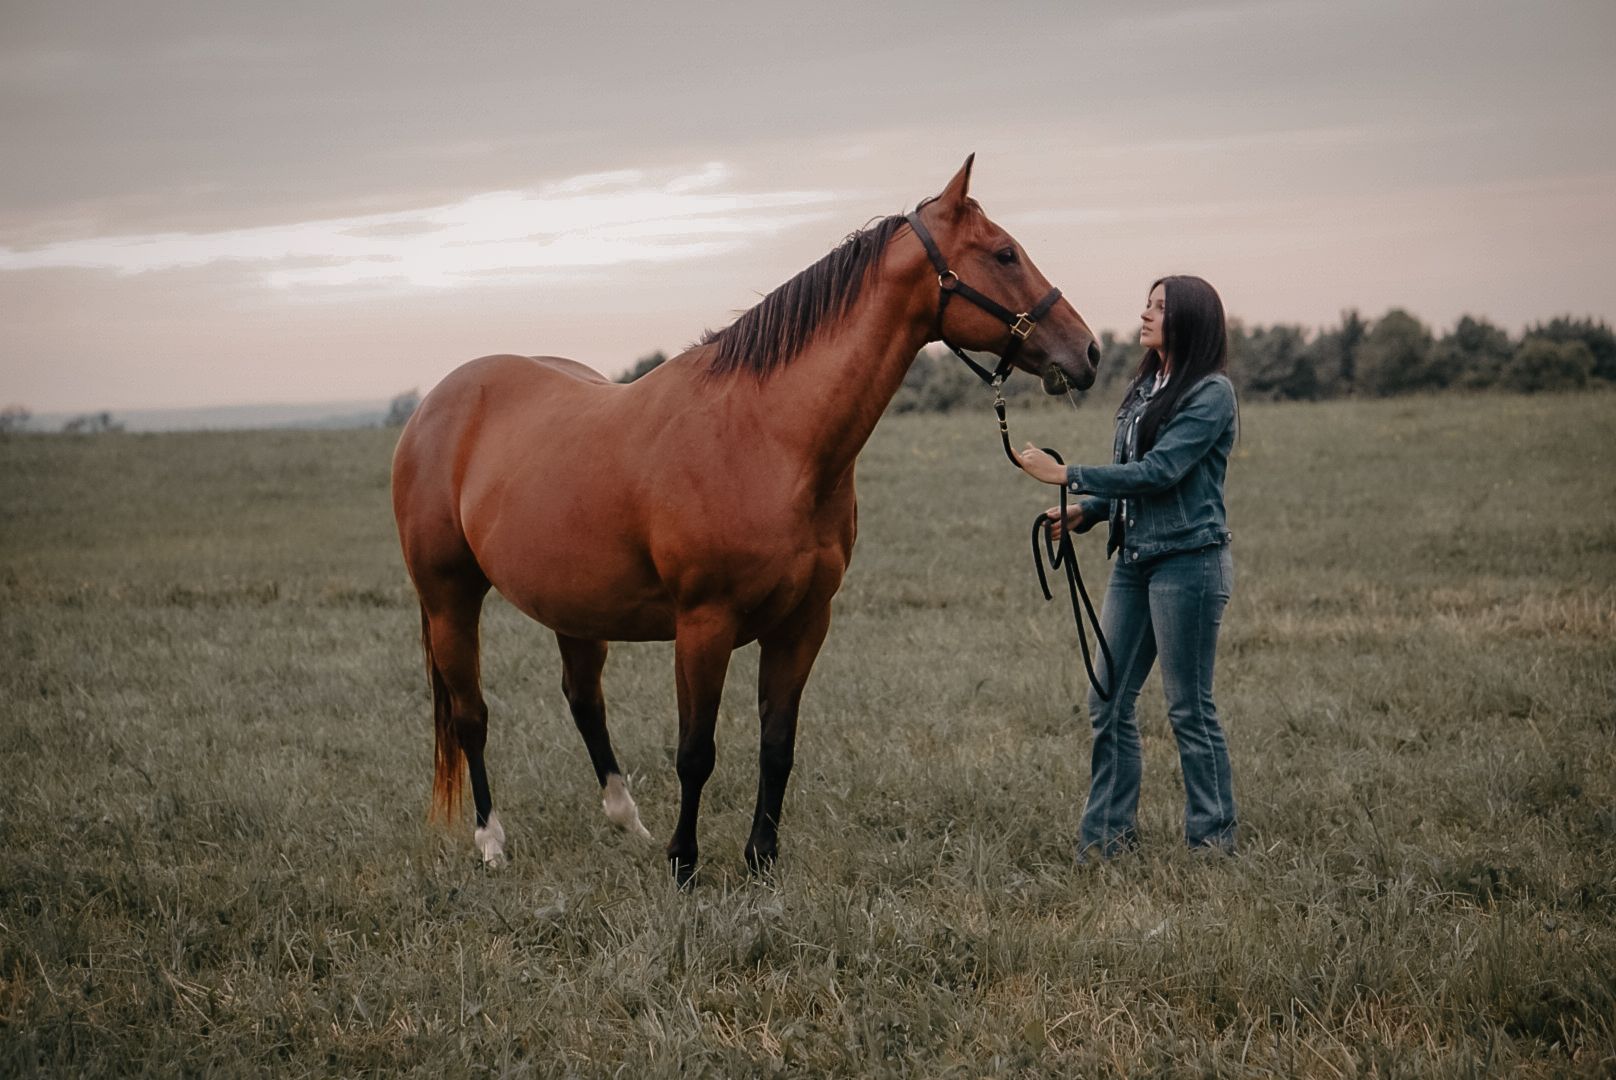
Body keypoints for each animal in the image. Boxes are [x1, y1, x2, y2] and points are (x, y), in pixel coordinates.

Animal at [391, 156, 1101, 883]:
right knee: (472, 716)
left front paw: (760, 858)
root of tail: (436, 405)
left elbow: (777, 744)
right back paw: (492, 841)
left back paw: (628, 824)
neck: (769, 436)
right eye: (1004, 253)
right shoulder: (704, 625)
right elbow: (696, 751)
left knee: (584, 701)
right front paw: (684, 863)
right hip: (450, 600)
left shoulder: (803, 623)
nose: (1088, 352)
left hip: (573, 606)